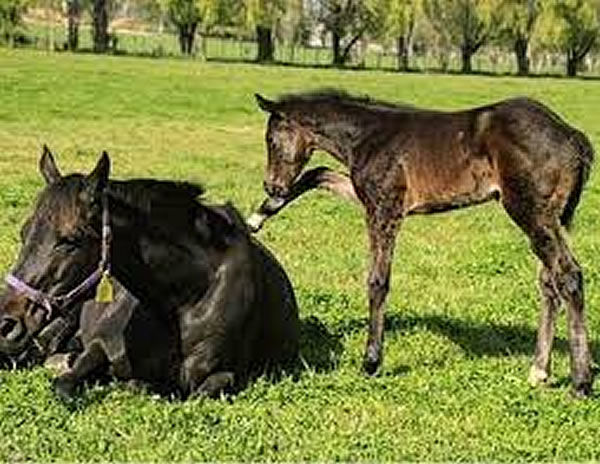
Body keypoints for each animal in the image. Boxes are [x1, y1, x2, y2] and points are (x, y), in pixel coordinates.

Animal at [0, 149, 300, 398]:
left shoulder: (225, 375)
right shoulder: (101, 344)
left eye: (69, 240)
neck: (187, 295)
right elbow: (66, 382)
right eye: (24, 233)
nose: (6, 325)